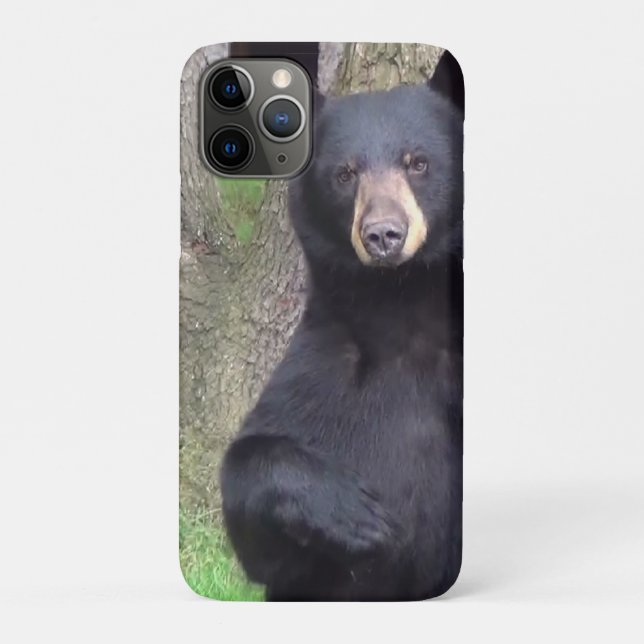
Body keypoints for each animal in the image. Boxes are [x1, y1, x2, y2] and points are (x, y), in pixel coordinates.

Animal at [220, 51, 464, 601]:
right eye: (345, 173)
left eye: (419, 162)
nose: (383, 235)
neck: (399, 306)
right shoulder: (321, 370)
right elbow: (251, 512)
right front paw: (358, 514)